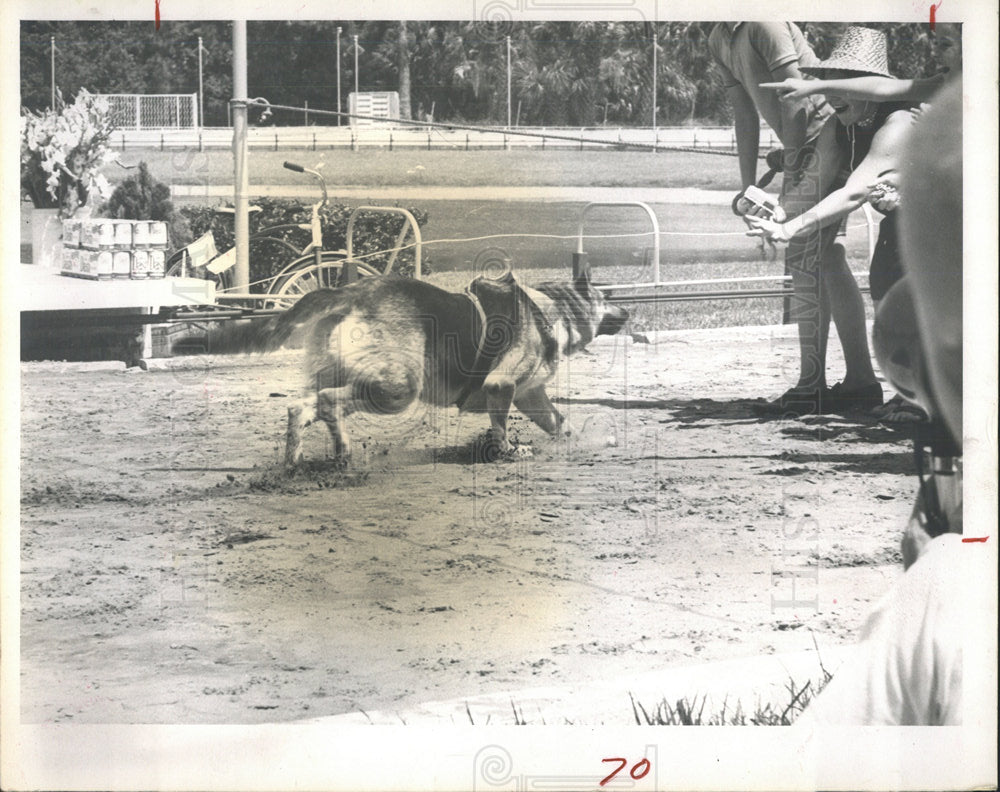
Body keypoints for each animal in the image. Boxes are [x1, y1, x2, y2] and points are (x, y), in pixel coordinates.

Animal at [192, 270, 628, 468]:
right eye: (607, 297)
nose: (627, 312)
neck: (552, 310)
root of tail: (352, 292)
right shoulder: (501, 386)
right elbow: (501, 428)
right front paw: (506, 452)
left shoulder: (529, 395)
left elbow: (559, 421)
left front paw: (573, 441)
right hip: (398, 389)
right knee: (330, 403)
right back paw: (342, 451)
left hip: (350, 378)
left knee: (300, 406)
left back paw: (295, 462)